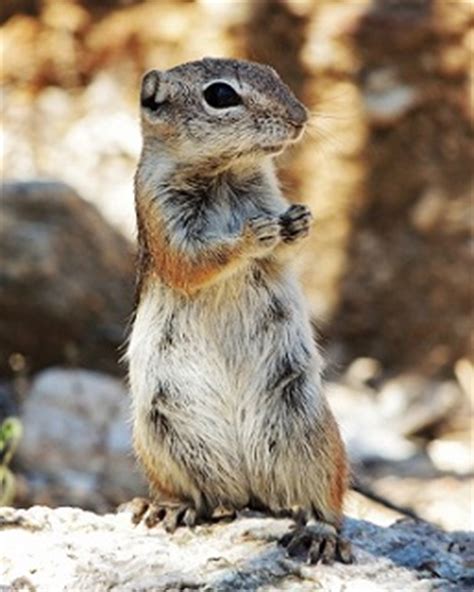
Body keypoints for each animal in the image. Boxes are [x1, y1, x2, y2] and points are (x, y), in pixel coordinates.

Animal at [127, 56, 352, 564]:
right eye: (221, 95)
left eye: (273, 73)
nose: (300, 117)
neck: (224, 174)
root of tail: (247, 490)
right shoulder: (161, 214)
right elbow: (194, 260)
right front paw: (252, 235)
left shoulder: (267, 193)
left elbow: (287, 251)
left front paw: (299, 221)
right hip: (157, 434)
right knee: (194, 495)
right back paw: (168, 507)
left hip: (312, 433)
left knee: (324, 501)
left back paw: (320, 534)